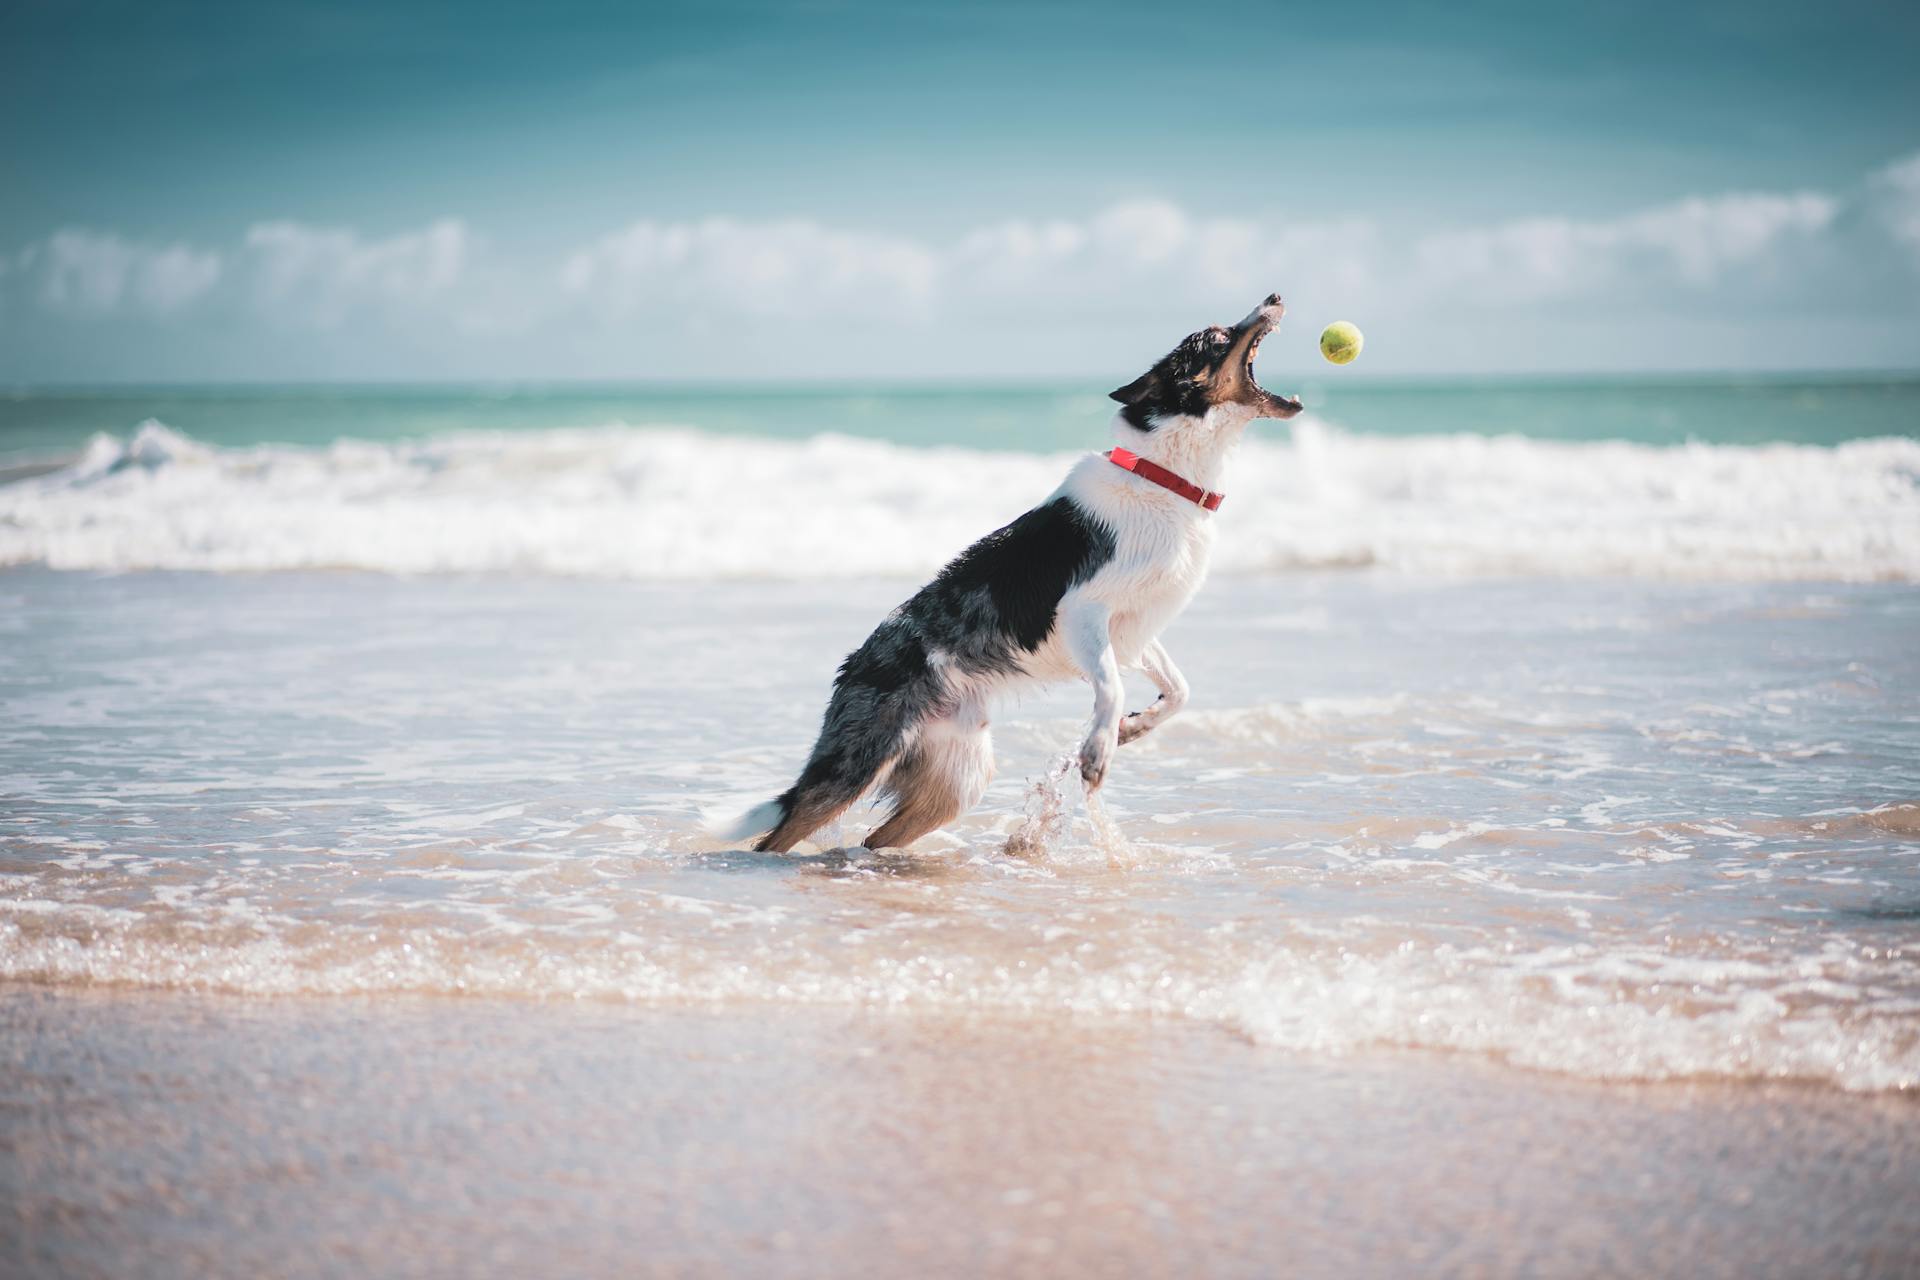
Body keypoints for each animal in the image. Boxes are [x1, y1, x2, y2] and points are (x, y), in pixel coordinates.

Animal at [733, 295, 1305, 855]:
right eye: (1219, 335)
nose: (1275, 296)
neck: (1164, 478)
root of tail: (851, 666)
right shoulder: (1082, 612)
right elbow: (1112, 686)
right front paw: (1098, 750)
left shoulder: (1133, 628)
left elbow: (1180, 690)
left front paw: (1132, 729)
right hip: (858, 760)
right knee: (778, 835)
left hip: (958, 780)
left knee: (876, 838)